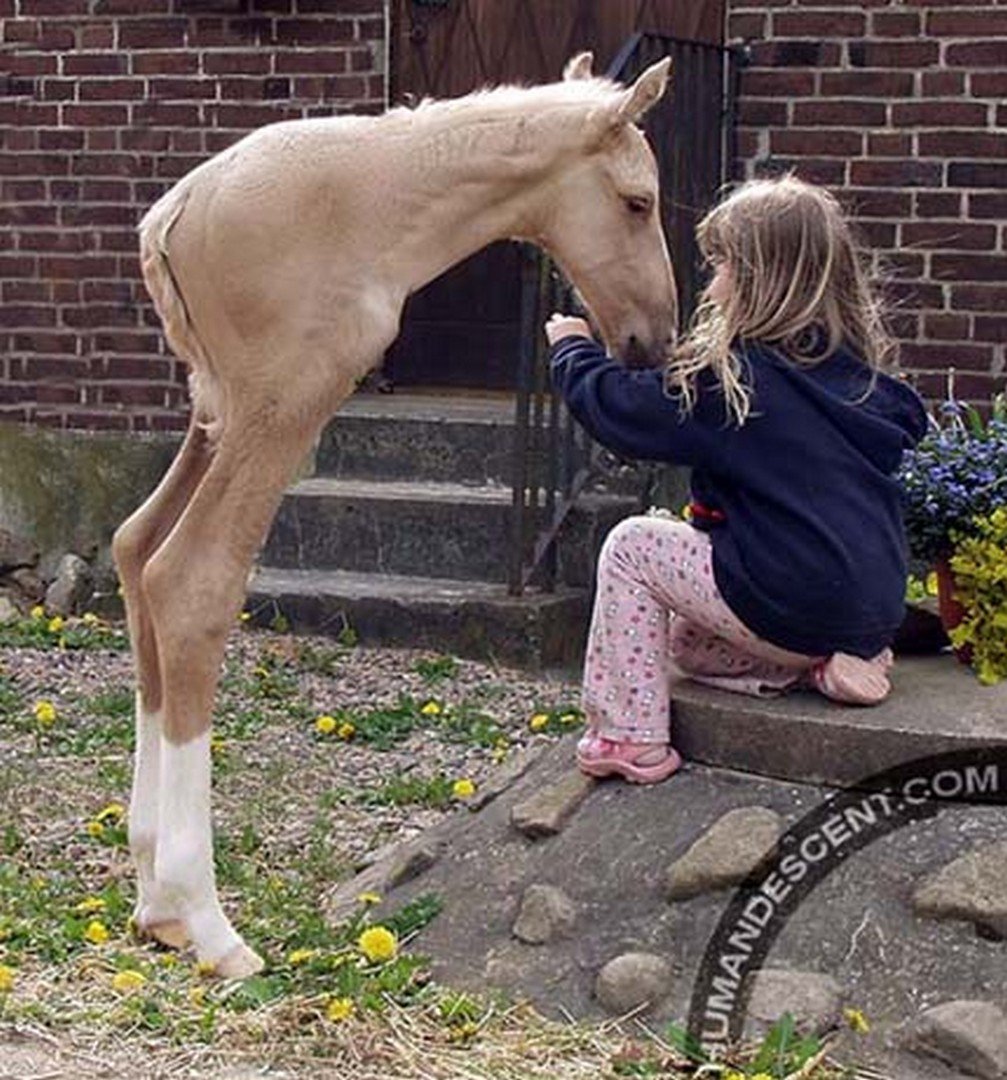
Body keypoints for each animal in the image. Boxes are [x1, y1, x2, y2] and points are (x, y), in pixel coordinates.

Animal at [113, 51, 677, 978]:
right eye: (637, 201)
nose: (652, 342)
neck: (386, 199)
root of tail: (172, 218)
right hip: (269, 414)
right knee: (189, 579)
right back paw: (206, 920)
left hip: (210, 413)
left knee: (134, 549)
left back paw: (155, 900)